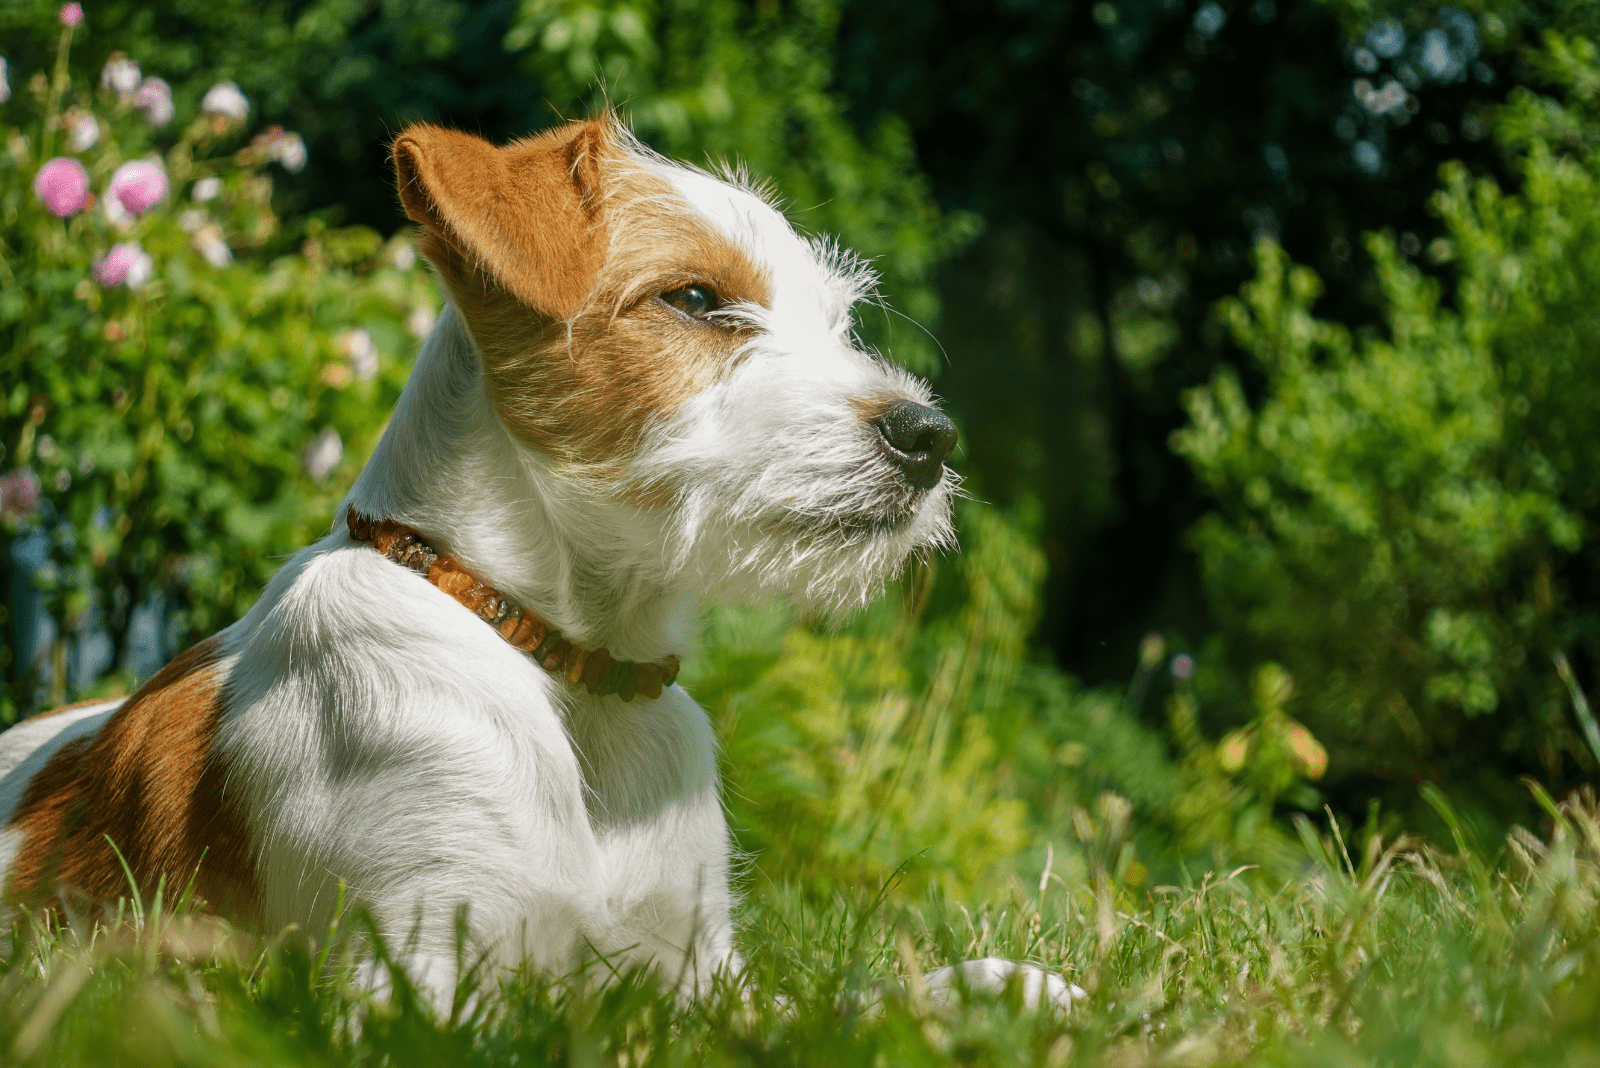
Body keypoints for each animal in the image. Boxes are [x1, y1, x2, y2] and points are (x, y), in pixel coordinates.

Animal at [0, 116, 1075, 1010]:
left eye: (837, 322)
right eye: (696, 299)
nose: (930, 436)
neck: (568, 660)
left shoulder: (699, 975)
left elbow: (847, 1008)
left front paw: (999, 988)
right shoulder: (409, 976)